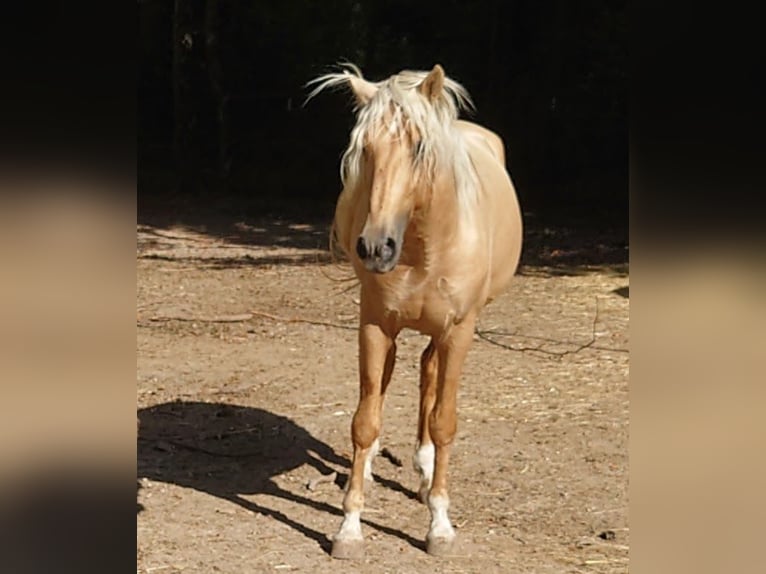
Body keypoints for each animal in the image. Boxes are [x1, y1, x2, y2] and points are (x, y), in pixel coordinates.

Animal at [308, 65, 524, 560]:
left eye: (419, 147)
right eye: (364, 150)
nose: (375, 247)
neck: (422, 248)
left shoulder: (458, 331)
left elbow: (444, 422)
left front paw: (439, 524)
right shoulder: (374, 324)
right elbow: (364, 420)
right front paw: (349, 528)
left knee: (428, 372)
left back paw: (425, 474)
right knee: (388, 382)